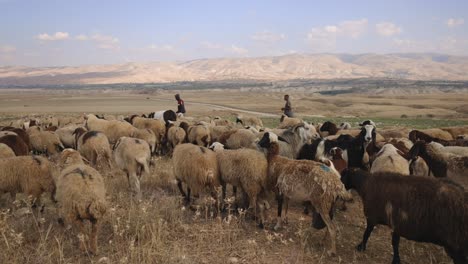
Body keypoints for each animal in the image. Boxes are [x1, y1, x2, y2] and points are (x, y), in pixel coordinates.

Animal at [340, 168, 468, 264]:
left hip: (457, 245)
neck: (365, 184)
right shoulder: (397, 224)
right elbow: (395, 243)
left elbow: (366, 234)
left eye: (343, 175)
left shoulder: (372, 217)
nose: (340, 181)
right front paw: (396, 260)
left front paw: (361, 247)